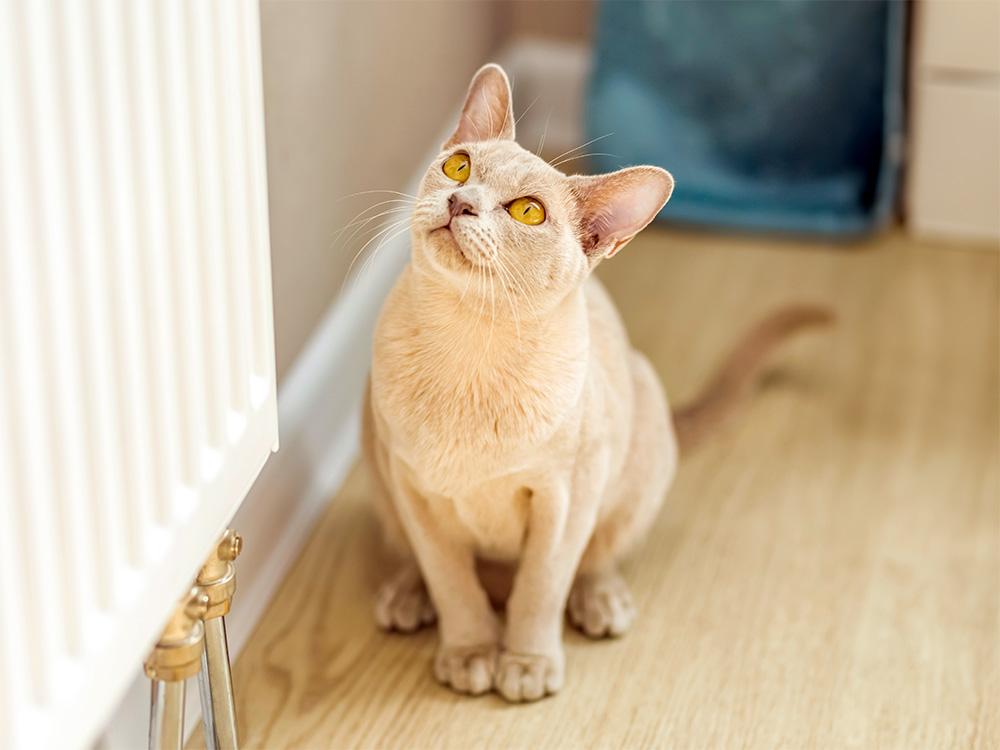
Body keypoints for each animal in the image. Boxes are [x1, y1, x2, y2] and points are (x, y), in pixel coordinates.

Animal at [364, 64, 832, 704]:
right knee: (415, 556)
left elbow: (539, 589)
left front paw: (526, 665)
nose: (460, 201)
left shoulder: (564, 499)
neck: (469, 347)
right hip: (376, 456)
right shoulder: (417, 493)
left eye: (528, 212)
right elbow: (452, 583)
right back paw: (405, 597)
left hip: (639, 429)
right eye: (459, 167)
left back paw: (602, 604)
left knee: (597, 556)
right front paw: (471, 653)